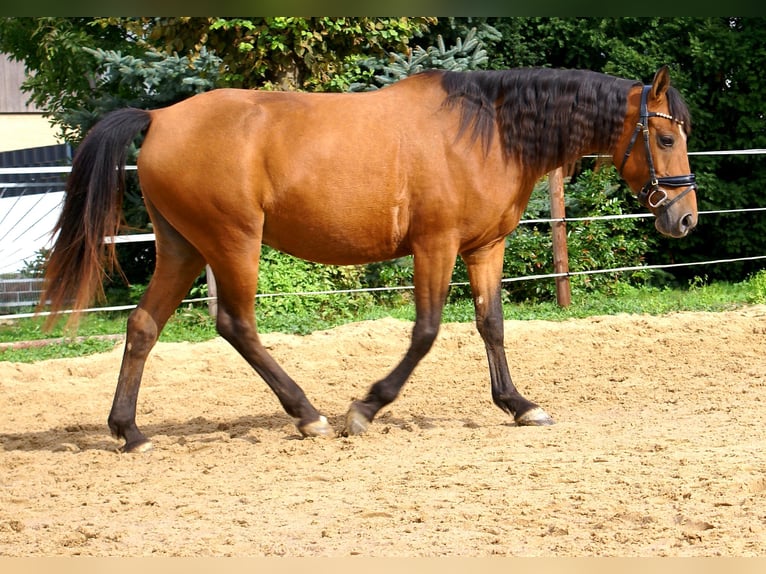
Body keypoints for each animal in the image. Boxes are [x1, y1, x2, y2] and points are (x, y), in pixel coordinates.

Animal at [45, 66, 700, 454]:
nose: (685, 218)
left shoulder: (484, 248)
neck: (487, 132)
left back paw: (129, 431)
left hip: (183, 247)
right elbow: (427, 331)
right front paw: (365, 407)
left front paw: (518, 405)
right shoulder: (435, 246)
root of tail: (160, 117)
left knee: (142, 326)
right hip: (234, 243)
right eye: (666, 138)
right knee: (236, 324)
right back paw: (309, 414)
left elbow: (492, 325)